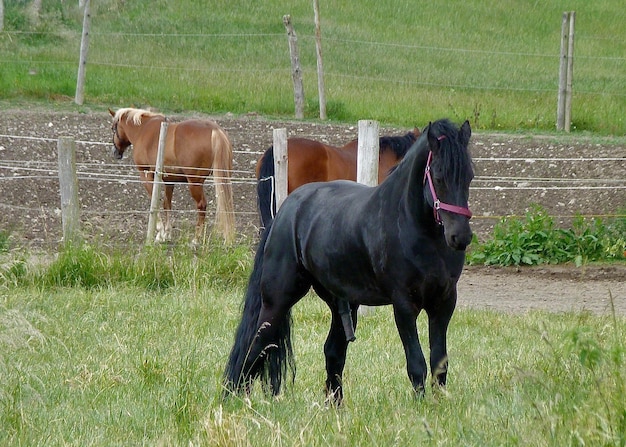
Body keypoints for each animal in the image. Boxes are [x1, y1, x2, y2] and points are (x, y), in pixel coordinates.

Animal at [107, 107, 234, 243]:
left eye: (113, 128)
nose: (115, 152)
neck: (143, 129)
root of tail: (215, 130)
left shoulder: (146, 176)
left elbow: (155, 202)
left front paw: (160, 232)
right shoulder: (169, 180)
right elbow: (167, 204)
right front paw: (167, 233)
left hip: (195, 183)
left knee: (202, 205)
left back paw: (196, 239)